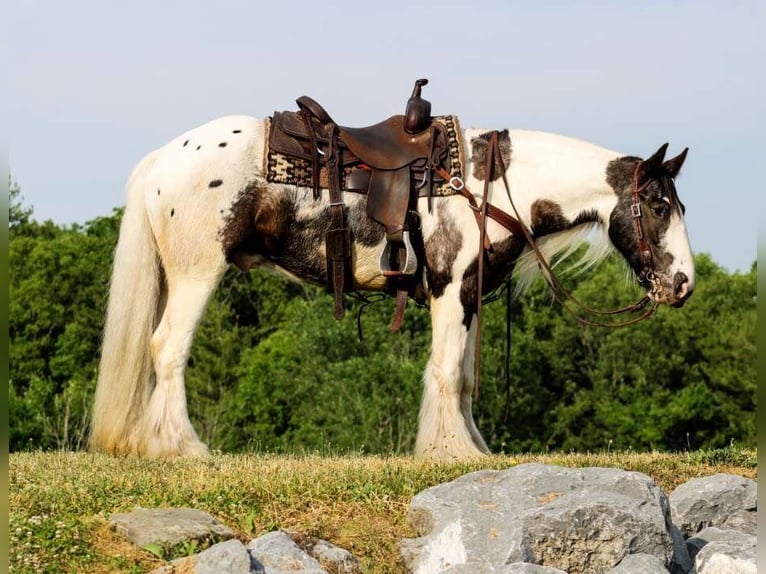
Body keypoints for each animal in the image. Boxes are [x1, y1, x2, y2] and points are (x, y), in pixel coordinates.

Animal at [90, 111, 696, 464]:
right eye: (658, 205)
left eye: (677, 204)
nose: (684, 284)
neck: (488, 184)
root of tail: (162, 159)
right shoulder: (450, 289)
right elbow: (446, 371)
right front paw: (452, 453)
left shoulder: (469, 297)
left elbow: (465, 380)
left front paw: (472, 448)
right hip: (198, 273)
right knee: (168, 349)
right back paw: (182, 448)